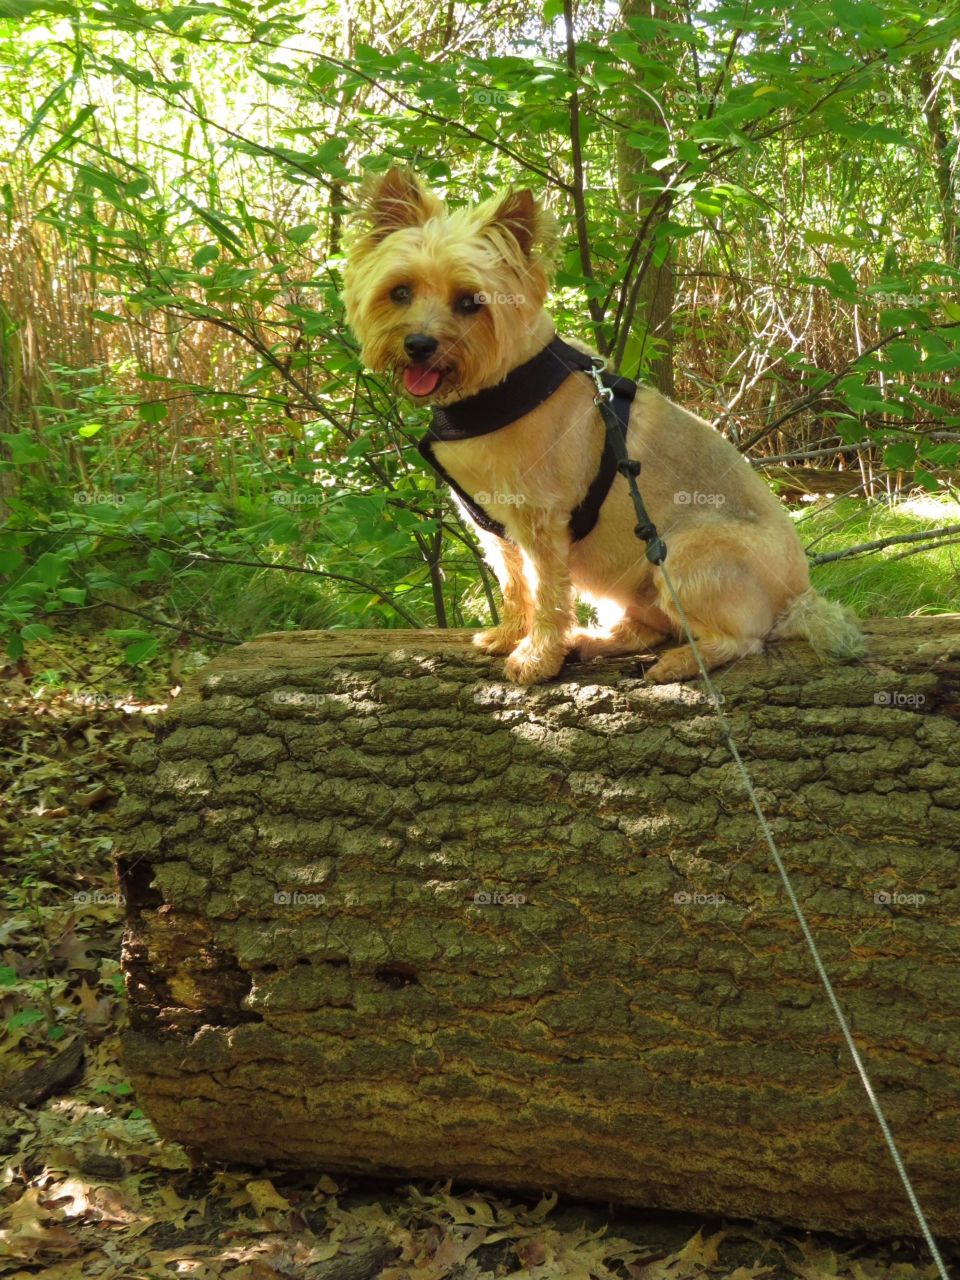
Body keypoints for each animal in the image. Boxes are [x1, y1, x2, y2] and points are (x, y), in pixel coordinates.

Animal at [343, 171, 865, 691]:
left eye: (471, 302)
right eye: (400, 292)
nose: (419, 345)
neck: (499, 388)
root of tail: (799, 600)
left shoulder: (542, 526)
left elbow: (547, 594)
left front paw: (537, 656)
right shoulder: (497, 531)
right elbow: (514, 585)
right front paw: (511, 635)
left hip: (681, 553)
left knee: (739, 641)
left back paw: (679, 661)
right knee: (652, 627)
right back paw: (595, 642)